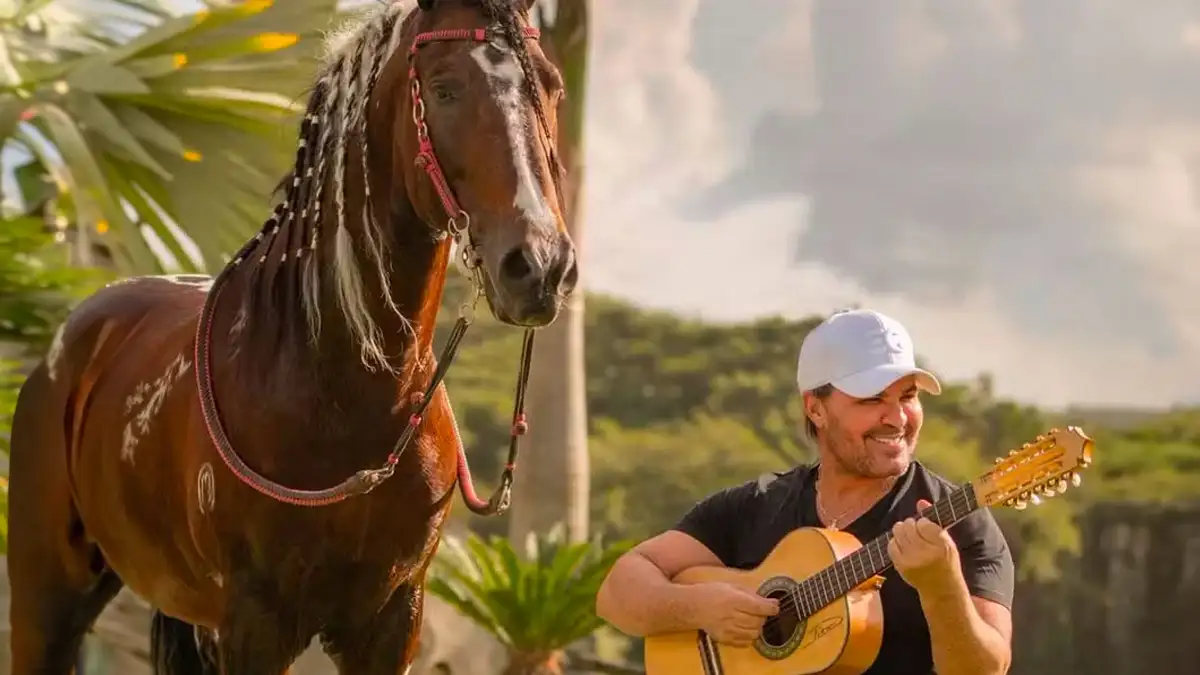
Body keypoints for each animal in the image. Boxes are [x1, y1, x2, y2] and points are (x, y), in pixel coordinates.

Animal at [5, 0, 576, 667]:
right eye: (443, 88)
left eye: (553, 87)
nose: (540, 267)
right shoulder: (255, 626)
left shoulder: (392, 624)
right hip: (47, 596)